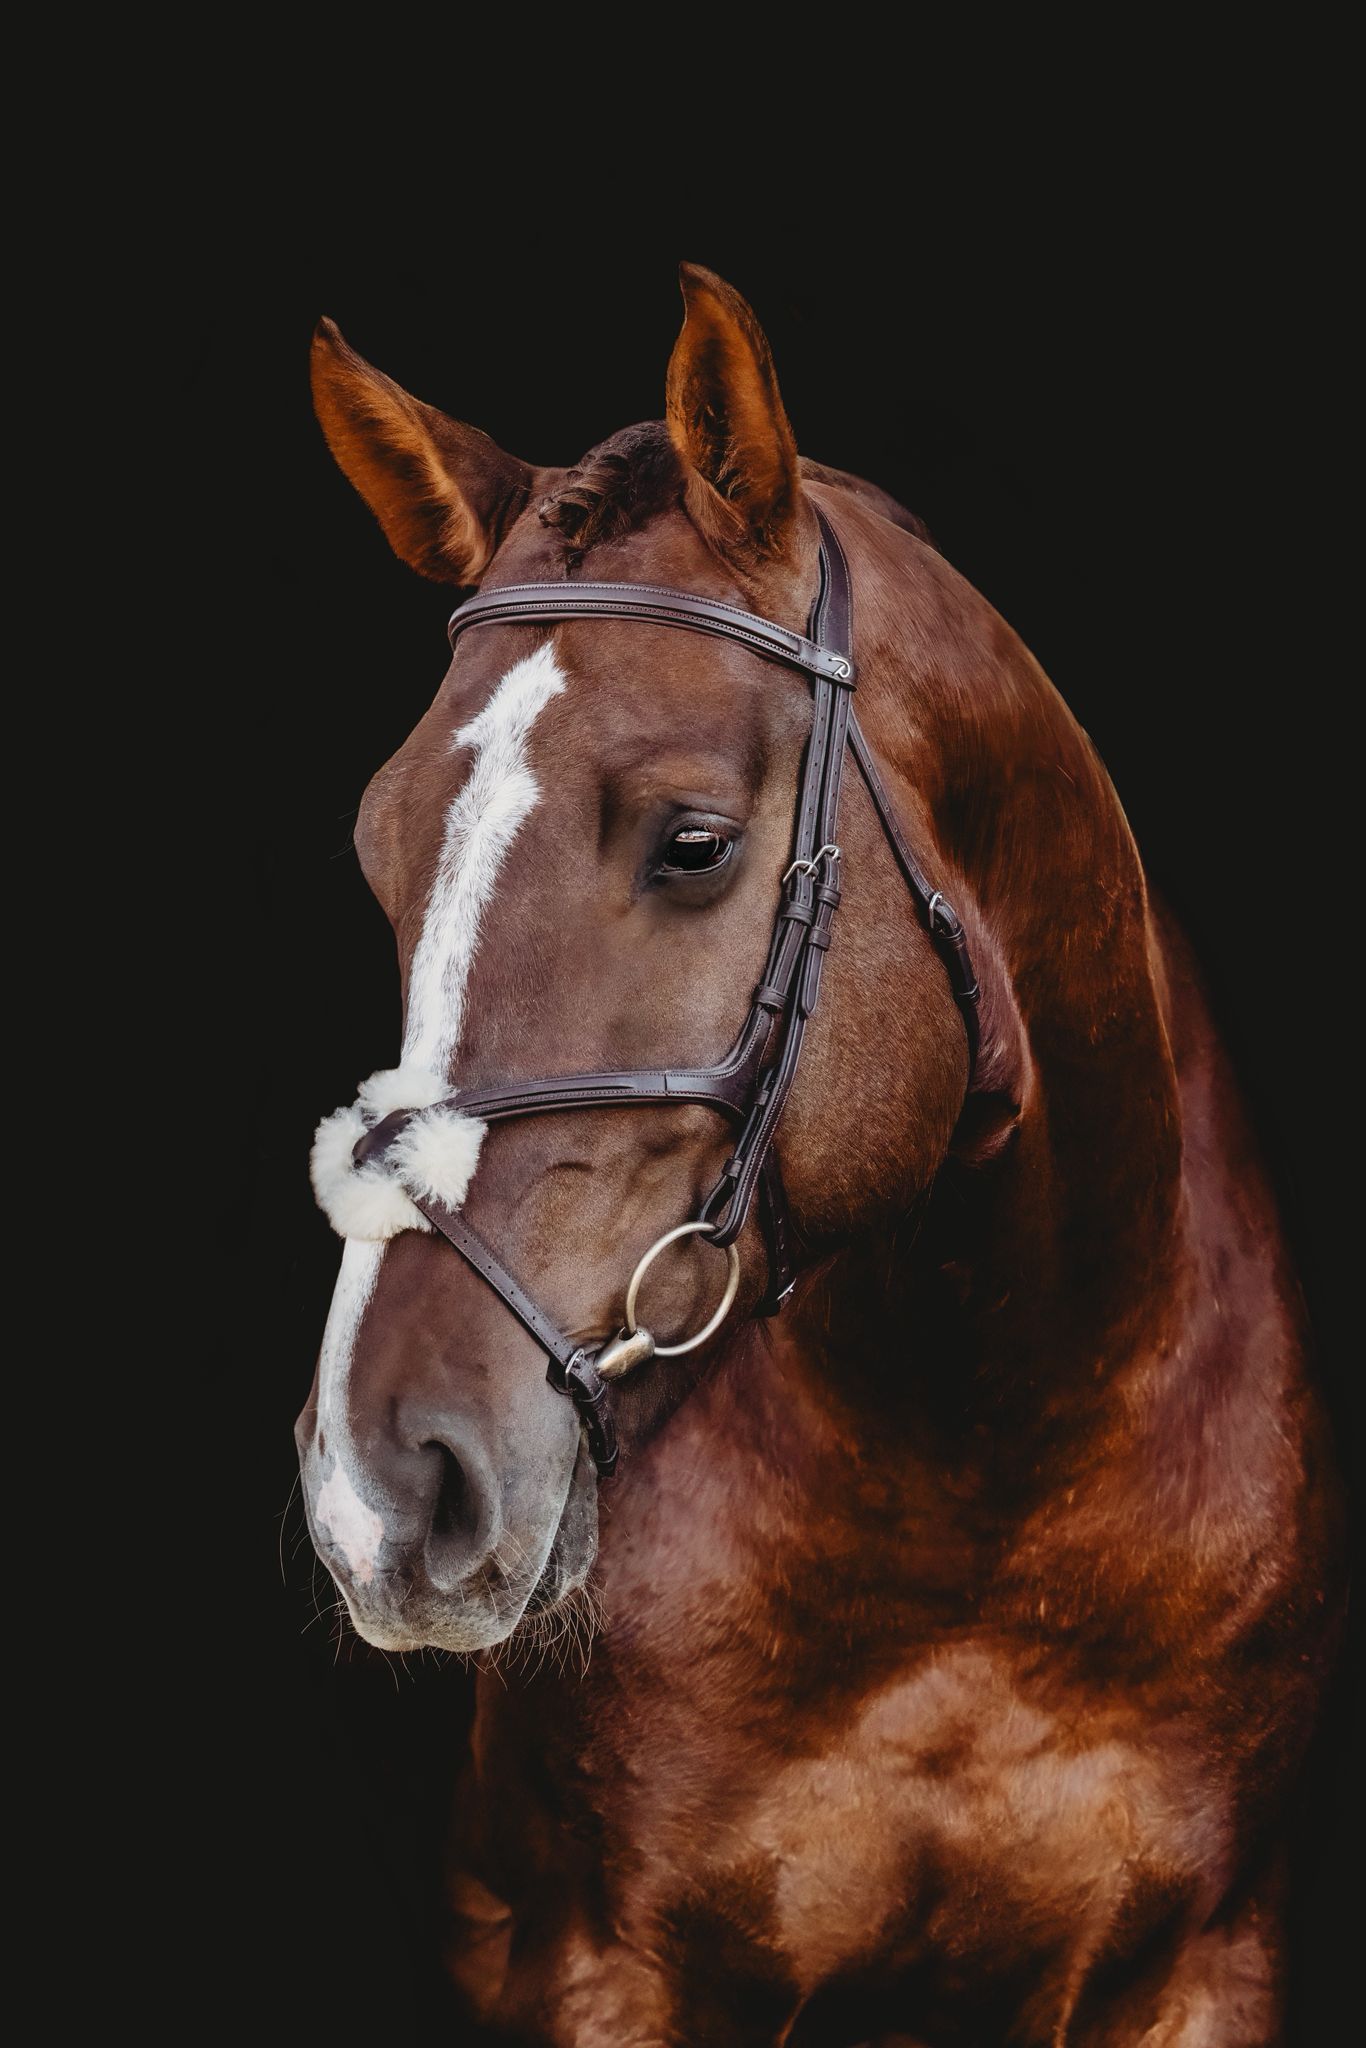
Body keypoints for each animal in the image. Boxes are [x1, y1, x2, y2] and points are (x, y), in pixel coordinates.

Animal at [295, 264, 1342, 2045]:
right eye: (383, 851)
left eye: (693, 842)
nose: (383, 1483)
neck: (986, 1478)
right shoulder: (615, 1969)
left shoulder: (1205, 1961)